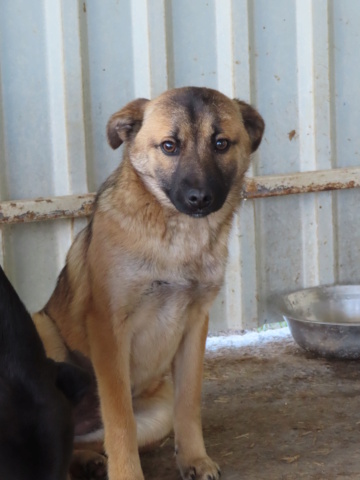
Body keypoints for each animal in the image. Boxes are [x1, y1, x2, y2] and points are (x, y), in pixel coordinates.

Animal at [33, 87, 264, 480]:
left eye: (221, 143)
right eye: (169, 146)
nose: (199, 198)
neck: (179, 238)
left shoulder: (195, 324)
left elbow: (189, 403)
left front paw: (194, 459)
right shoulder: (109, 329)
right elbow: (119, 420)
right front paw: (127, 474)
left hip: (158, 411)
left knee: (84, 441)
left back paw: (89, 460)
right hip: (42, 327)